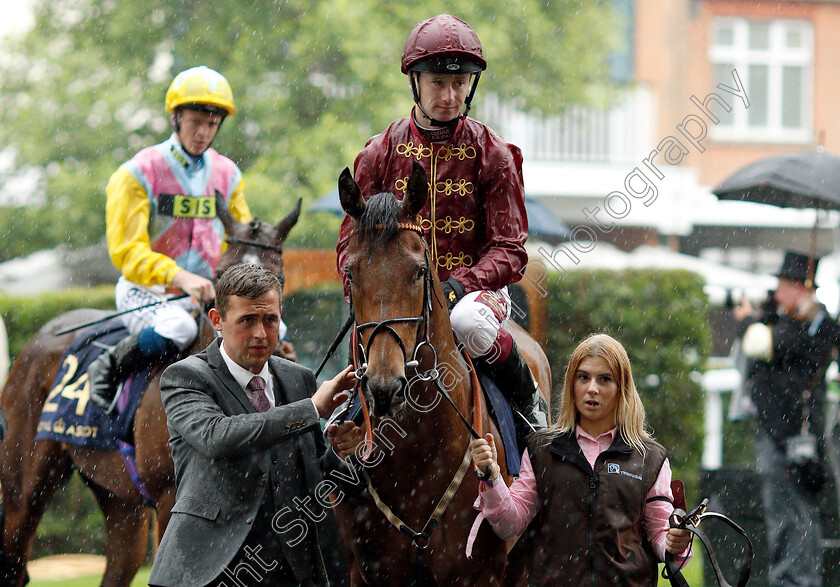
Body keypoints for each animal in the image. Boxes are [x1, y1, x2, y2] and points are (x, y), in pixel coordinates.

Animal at [332, 162, 556, 587]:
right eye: (351, 273)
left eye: (420, 271)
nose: (385, 386)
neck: (415, 457)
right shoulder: (367, 571)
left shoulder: (482, 572)